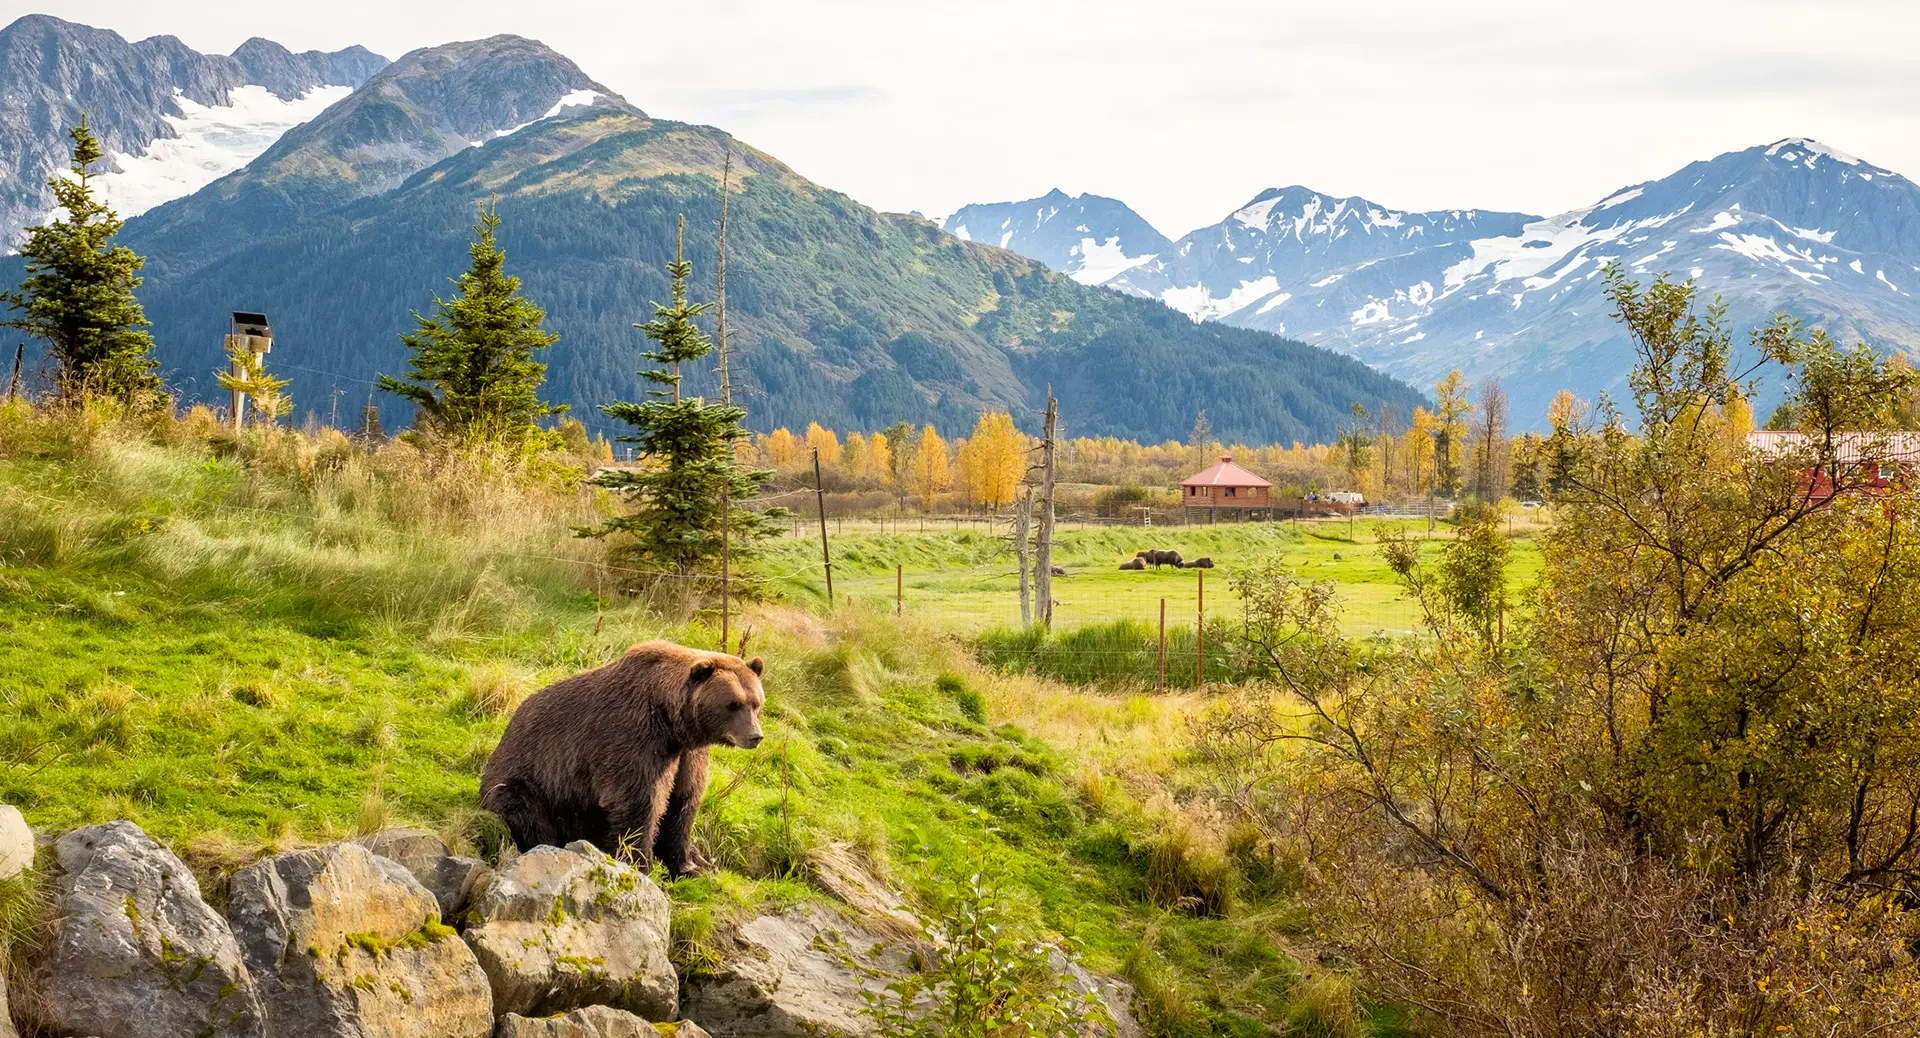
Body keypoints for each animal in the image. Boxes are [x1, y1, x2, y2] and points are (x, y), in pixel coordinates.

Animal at [480, 641, 765, 877]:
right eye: (733, 704)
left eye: (756, 703)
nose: (755, 736)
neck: (670, 722)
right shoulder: (633, 740)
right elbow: (639, 804)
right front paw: (641, 864)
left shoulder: (687, 755)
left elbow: (683, 802)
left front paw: (689, 866)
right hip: (533, 783)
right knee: (522, 809)